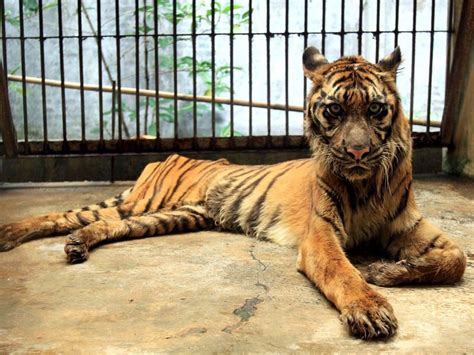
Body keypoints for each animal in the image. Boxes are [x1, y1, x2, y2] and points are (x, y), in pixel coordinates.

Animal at [0, 46, 466, 340]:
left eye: (374, 109)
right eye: (334, 110)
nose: (357, 151)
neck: (366, 182)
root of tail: (167, 156)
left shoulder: (409, 226)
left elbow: (456, 260)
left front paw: (388, 271)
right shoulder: (321, 235)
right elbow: (342, 272)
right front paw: (369, 309)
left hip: (175, 214)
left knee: (103, 226)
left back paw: (78, 244)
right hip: (145, 202)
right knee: (65, 216)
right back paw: (12, 234)